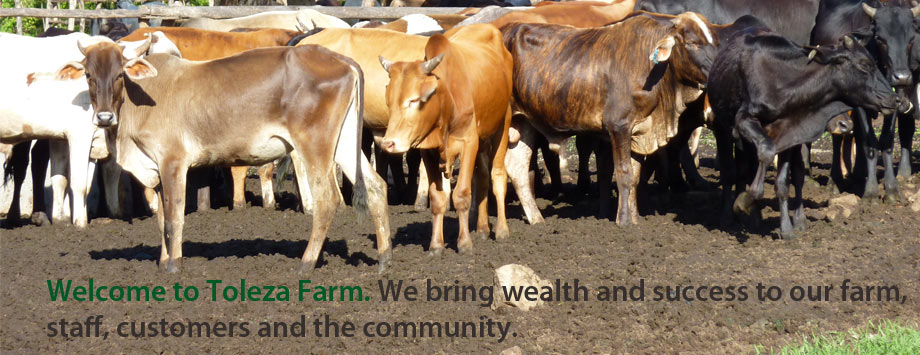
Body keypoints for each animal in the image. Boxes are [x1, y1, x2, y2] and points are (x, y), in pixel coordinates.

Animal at [378, 23, 512, 254]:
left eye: (414, 100)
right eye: (389, 102)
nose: (389, 143)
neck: (447, 100)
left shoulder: (469, 143)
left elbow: (462, 194)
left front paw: (464, 243)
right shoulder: (428, 152)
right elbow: (437, 198)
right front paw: (436, 245)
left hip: (503, 122)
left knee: (497, 175)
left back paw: (502, 230)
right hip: (483, 138)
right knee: (483, 177)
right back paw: (483, 228)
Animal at [708, 30, 904, 239]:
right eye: (865, 65)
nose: (895, 99)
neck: (784, 85)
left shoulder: (789, 135)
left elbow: (783, 184)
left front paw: (786, 230)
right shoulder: (744, 120)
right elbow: (767, 151)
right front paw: (743, 202)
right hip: (723, 129)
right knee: (732, 170)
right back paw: (731, 215)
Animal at [812, 0, 920, 202]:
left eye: (910, 39)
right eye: (880, 38)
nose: (902, 77)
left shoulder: (894, 99)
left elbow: (886, 140)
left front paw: (892, 189)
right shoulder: (860, 103)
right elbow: (869, 142)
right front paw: (870, 192)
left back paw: (859, 174)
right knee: (838, 137)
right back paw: (835, 181)